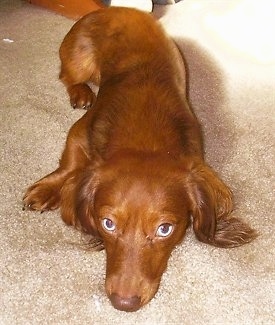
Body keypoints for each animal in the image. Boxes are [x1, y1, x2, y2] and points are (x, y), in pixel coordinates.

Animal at [22, 8, 258, 312]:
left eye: (165, 229)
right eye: (108, 224)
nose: (124, 303)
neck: (146, 137)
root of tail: (117, 8)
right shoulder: (80, 132)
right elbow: (70, 164)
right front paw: (47, 189)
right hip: (79, 61)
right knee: (67, 76)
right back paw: (81, 92)